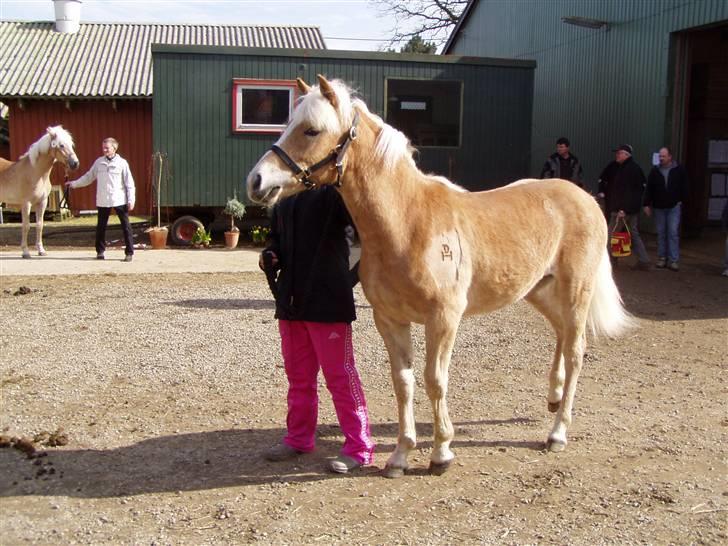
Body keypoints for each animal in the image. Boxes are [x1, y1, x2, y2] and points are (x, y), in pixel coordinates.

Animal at [0, 125, 79, 258]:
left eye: (71, 144)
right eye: (61, 145)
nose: (75, 163)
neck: (35, 172)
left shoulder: (42, 202)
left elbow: (39, 225)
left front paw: (41, 250)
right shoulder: (26, 203)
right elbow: (26, 226)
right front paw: (25, 252)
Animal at [246, 76, 632, 476]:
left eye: (312, 130)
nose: (257, 181)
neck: (408, 222)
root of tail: (584, 198)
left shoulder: (443, 319)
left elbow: (435, 380)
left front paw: (441, 453)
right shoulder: (390, 320)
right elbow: (403, 382)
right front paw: (400, 455)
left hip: (576, 291)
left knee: (575, 351)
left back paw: (557, 433)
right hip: (538, 289)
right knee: (561, 334)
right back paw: (553, 398)